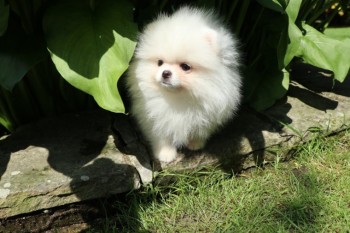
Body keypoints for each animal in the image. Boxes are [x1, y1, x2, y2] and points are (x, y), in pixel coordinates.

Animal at [127, 6, 242, 162]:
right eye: (160, 63)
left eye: (185, 67)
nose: (165, 73)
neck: (180, 97)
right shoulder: (153, 116)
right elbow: (161, 136)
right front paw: (165, 153)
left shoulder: (209, 113)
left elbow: (200, 131)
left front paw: (195, 143)